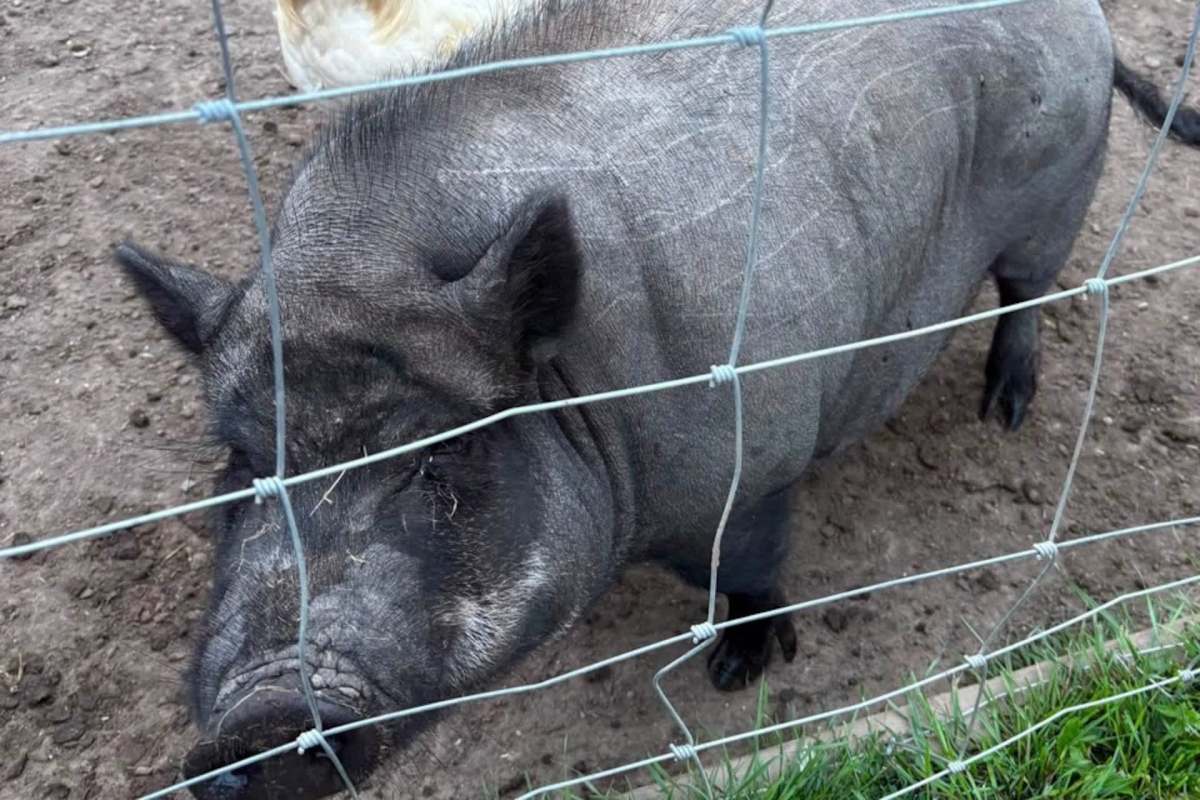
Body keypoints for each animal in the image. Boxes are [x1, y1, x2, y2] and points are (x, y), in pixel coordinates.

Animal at [115, 0, 1200, 797]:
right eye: (240, 464)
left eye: (443, 450)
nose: (249, 729)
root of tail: (1092, 16)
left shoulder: (751, 459)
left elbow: (746, 568)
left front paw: (738, 669)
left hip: (1057, 194)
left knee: (1029, 295)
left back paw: (1005, 409)